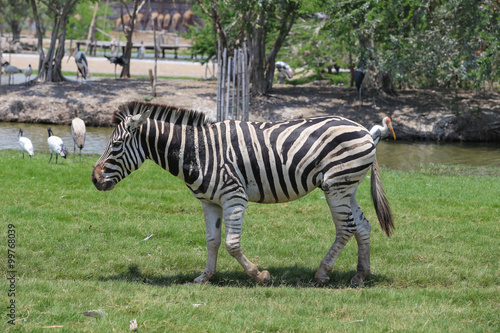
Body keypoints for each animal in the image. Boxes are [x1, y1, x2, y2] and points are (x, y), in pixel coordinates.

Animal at [92, 101, 392, 286]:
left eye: (116, 145)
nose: (94, 179)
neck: (197, 151)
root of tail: (366, 130)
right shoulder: (209, 202)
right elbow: (212, 240)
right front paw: (205, 277)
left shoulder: (234, 196)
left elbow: (231, 244)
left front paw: (260, 275)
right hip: (347, 187)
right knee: (362, 226)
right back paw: (361, 275)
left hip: (336, 186)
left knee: (346, 228)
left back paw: (322, 273)